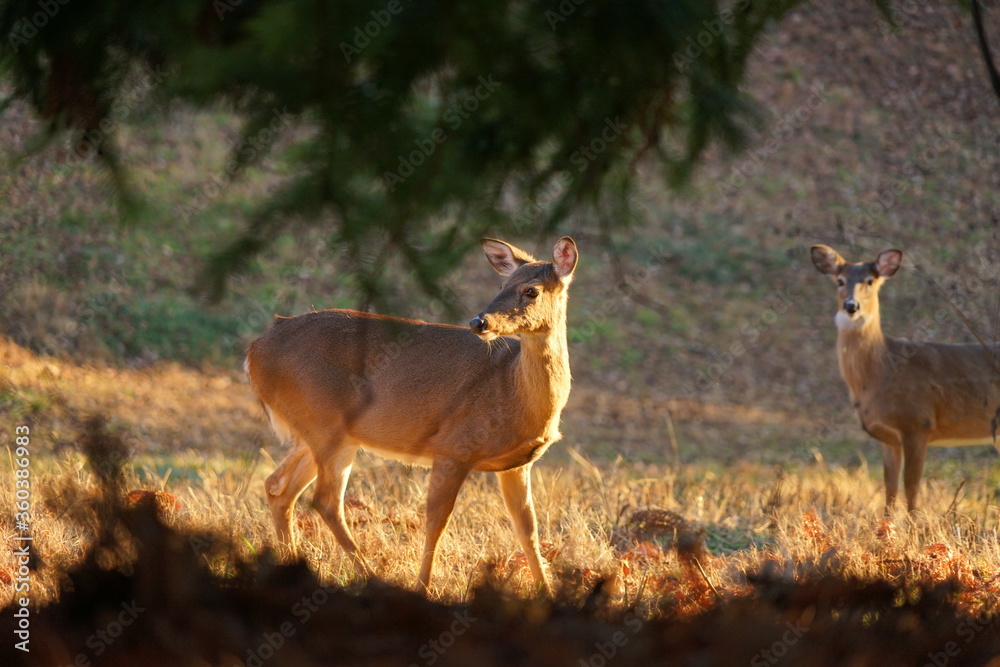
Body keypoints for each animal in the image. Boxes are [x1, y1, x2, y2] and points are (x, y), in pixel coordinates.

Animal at [245, 237, 578, 595]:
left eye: (532, 290)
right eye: (502, 285)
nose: (479, 322)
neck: (514, 391)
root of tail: (254, 351)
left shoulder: (518, 464)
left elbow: (528, 530)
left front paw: (546, 592)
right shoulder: (453, 448)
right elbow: (436, 523)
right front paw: (423, 588)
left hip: (324, 432)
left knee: (279, 487)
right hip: (323, 424)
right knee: (325, 500)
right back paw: (370, 577)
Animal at [811, 244, 1000, 512]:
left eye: (870, 281)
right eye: (840, 281)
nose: (851, 306)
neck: (883, 371)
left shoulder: (919, 423)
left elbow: (911, 486)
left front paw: (914, 523)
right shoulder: (889, 438)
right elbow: (890, 488)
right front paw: (885, 524)